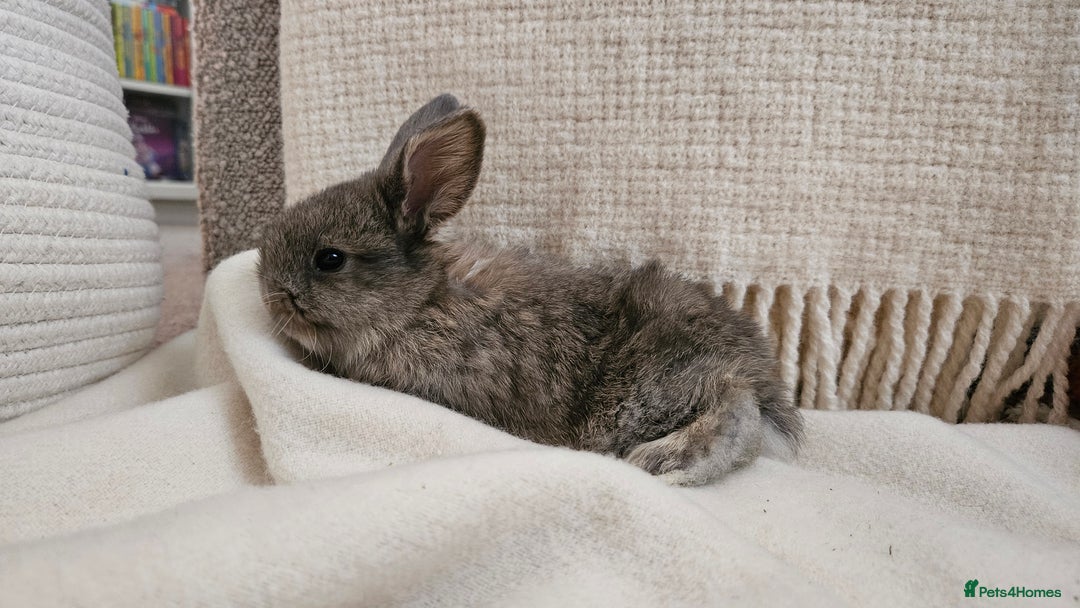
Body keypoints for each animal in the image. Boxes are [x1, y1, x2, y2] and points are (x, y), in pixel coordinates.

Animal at [257, 94, 803, 486]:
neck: (419, 302)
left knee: (736, 415)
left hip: (645, 396)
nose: (270, 293)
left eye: (329, 259)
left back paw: (667, 464)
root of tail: (757, 371)